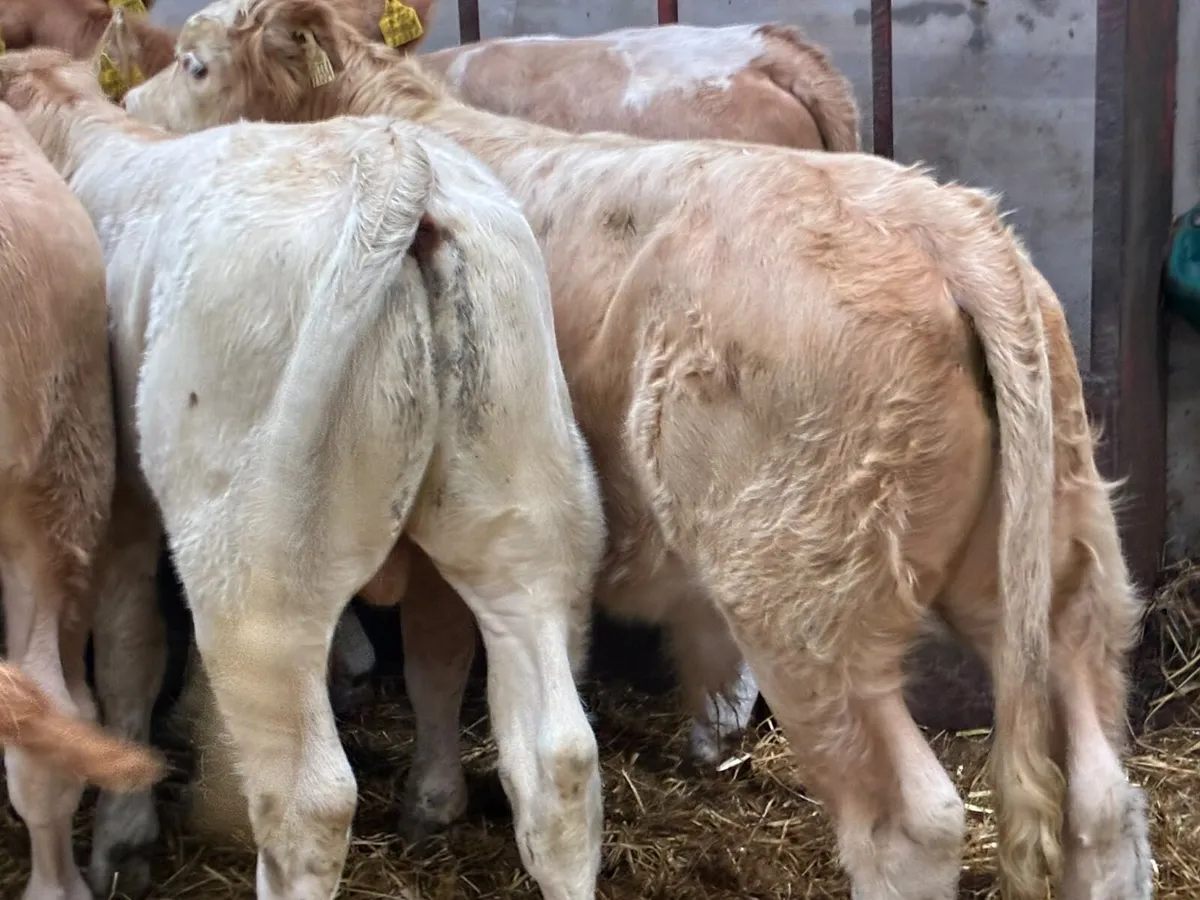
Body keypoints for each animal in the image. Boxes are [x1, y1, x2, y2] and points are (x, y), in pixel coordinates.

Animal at [0, 44, 608, 900]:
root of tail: (400, 169)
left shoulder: (114, 505)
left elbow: (129, 655)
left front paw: (123, 840)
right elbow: (435, 657)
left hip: (255, 578)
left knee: (308, 803)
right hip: (525, 518)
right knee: (558, 762)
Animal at [117, 2, 1158, 899]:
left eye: (194, 62)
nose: (129, 111)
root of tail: (949, 228)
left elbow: (435, 660)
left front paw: (427, 805)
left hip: (809, 609)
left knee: (911, 824)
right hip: (1064, 569)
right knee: (1103, 801)